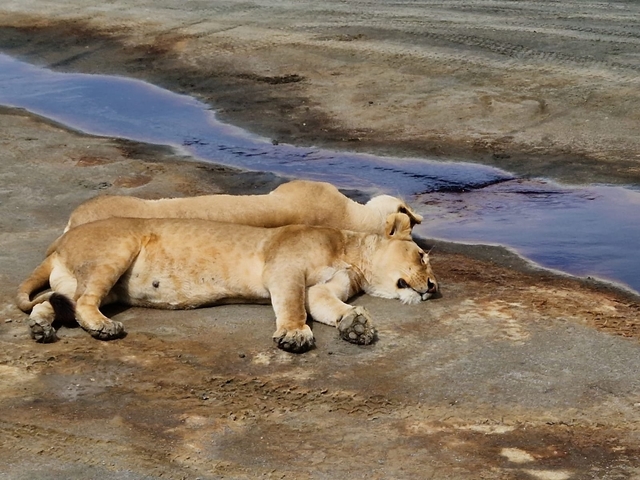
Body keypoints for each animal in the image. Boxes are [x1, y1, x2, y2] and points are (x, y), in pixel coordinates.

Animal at [18, 213, 438, 352]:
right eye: (422, 256)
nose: (434, 286)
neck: (351, 254)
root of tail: (57, 244)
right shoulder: (284, 269)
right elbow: (292, 305)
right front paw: (294, 335)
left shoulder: (322, 288)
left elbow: (330, 306)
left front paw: (356, 325)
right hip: (115, 251)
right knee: (85, 303)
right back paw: (104, 327)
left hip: (78, 282)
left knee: (55, 301)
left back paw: (41, 328)